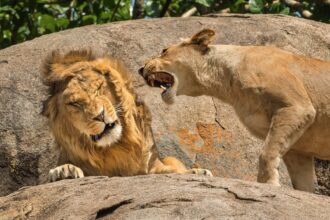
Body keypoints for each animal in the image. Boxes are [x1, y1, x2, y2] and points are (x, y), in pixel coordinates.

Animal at [41, 50, 211, 182]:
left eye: (99, 87)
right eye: (74, 103)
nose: (100, 116)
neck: (116, 147)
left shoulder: (151, 165)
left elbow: (170, 170)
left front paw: (196, 172)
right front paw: (64, 171)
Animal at [139, 29, 330, 192]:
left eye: (164, 50)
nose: (140, 69)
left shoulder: (297, 107)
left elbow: (266, 153)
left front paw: (269, 185)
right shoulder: (298, 149)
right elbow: (302, 183)